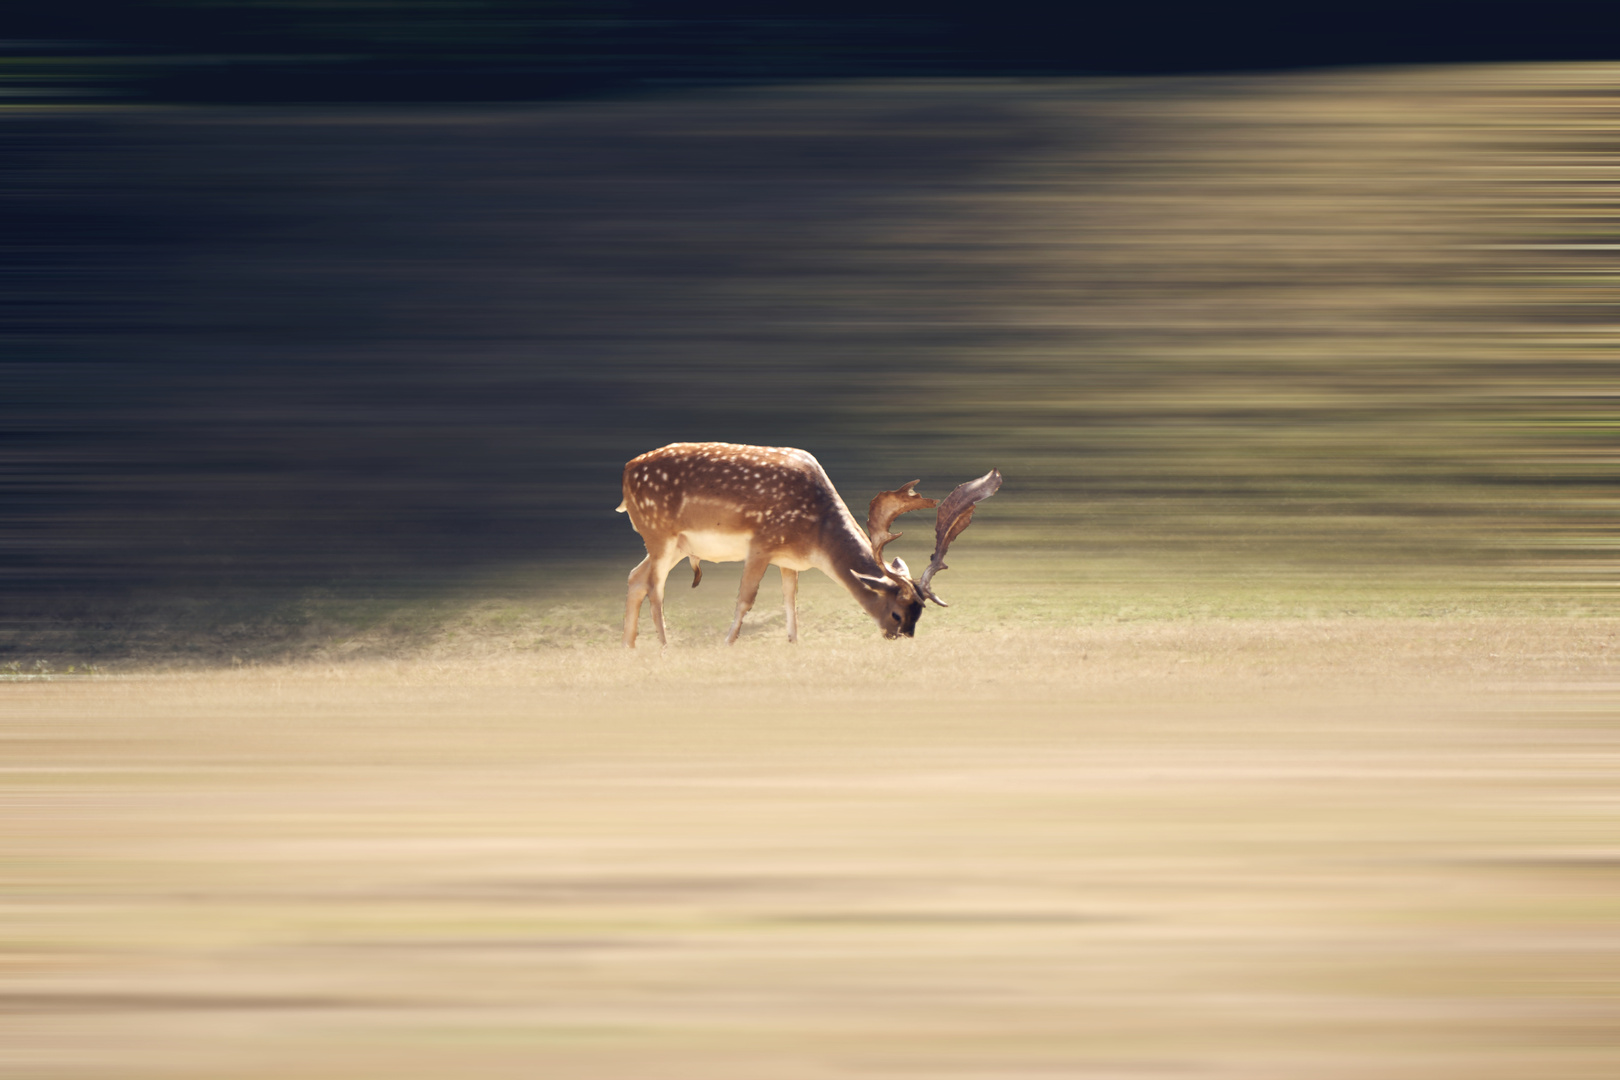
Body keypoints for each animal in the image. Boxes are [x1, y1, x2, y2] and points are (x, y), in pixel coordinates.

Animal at [618, 440, 997, 647]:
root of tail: (626, 471)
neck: (816, 538)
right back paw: (664, 645)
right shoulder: (763, 542)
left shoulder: (788, 558)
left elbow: (790, 599)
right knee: (654, 586)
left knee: (635, 577)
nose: (900, 637)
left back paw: (630, 646)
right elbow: (745, 598)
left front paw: (794, 641)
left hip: (675, 545)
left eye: (920, 613)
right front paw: (727, 643)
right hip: (659, 532)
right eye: (896, 612)